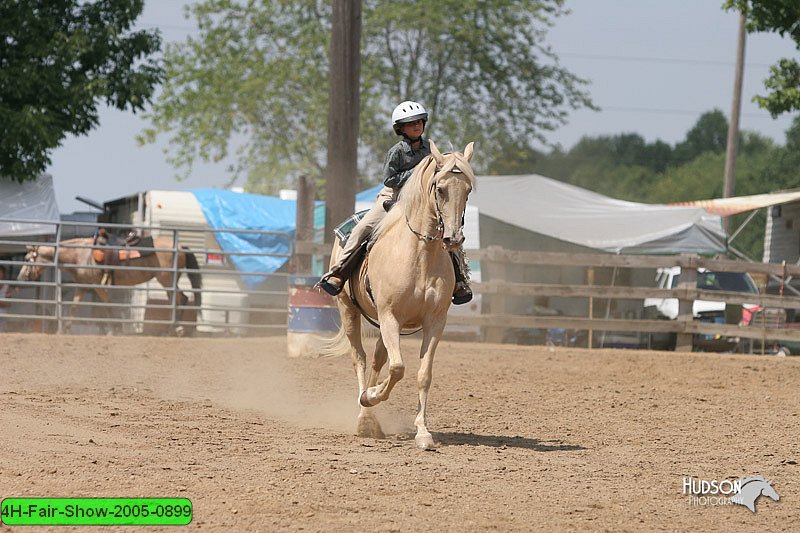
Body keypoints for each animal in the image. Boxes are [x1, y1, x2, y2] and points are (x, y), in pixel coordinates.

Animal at [18, 236, 202, 332]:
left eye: (27, 259)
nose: (20, 278)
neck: (80, 254)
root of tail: (180, 245)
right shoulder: (82, 286)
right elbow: (74, 308)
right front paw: (64, 330)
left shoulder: (98, 286)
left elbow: (107, 306)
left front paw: (115, 329)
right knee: (179, 300)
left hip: (167, 280)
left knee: (181, 299)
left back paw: (174, 329)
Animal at [322, 139, 476, 446]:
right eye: (440, 189)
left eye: (467, 190)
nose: (453, 238)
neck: (420, 255)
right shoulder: (390, 316)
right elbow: (398, 368)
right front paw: (370, 397)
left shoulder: (434, 322)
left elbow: (422, 374)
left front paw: (423, 432)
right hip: (349, 311)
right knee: (360, 358)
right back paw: (364, 415)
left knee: (378, 359)